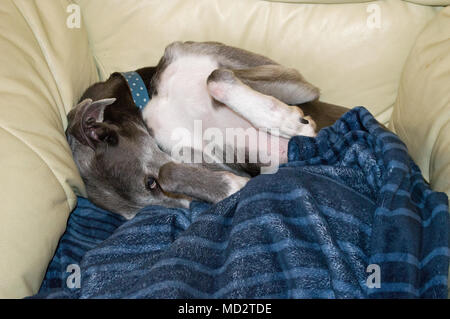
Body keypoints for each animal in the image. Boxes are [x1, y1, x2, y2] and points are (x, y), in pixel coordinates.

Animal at [67, 41, 348, 220]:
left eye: (150, 184)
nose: (195, 210)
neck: (152, 98)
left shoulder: (297, 83)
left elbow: (216, 75)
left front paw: (288, 121)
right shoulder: (195, 152)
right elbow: (172, 169)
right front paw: (232, 186)